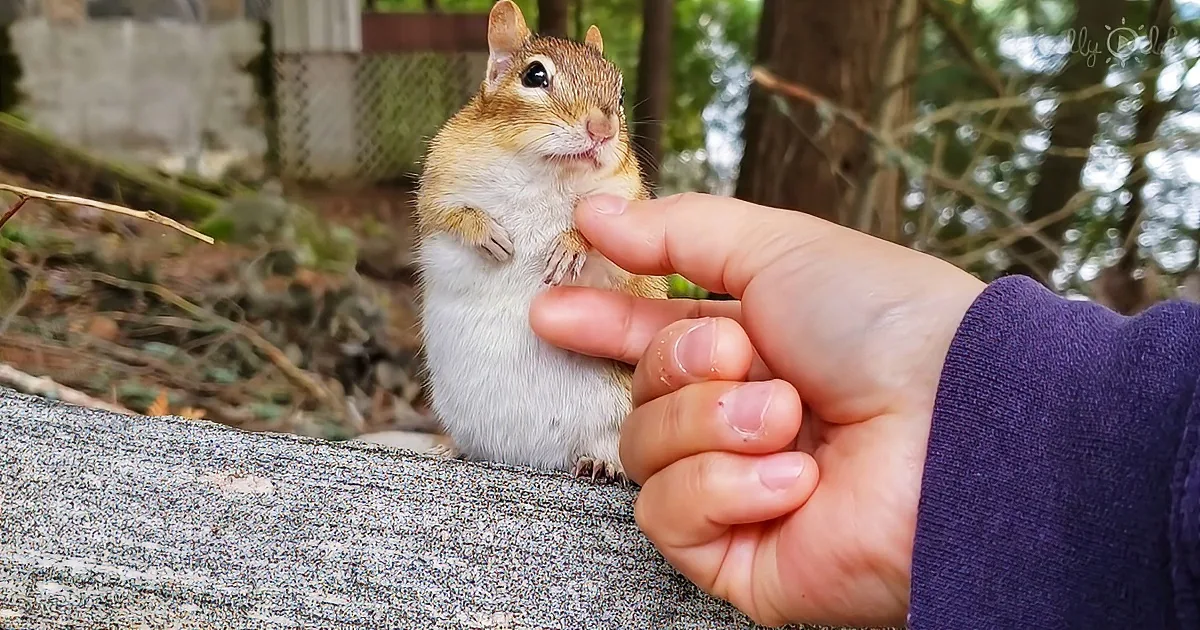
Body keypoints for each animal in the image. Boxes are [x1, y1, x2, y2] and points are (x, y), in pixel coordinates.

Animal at [413, 0, 669, 483]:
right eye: (534, 75)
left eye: (621, 93)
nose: (603, 129)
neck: (547, 171)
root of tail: (525, 456)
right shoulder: (440, 181)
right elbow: (445, 215)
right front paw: (488, 234)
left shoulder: (625, 200)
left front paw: (570, 245)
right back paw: (451, 449)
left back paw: (600, 462)